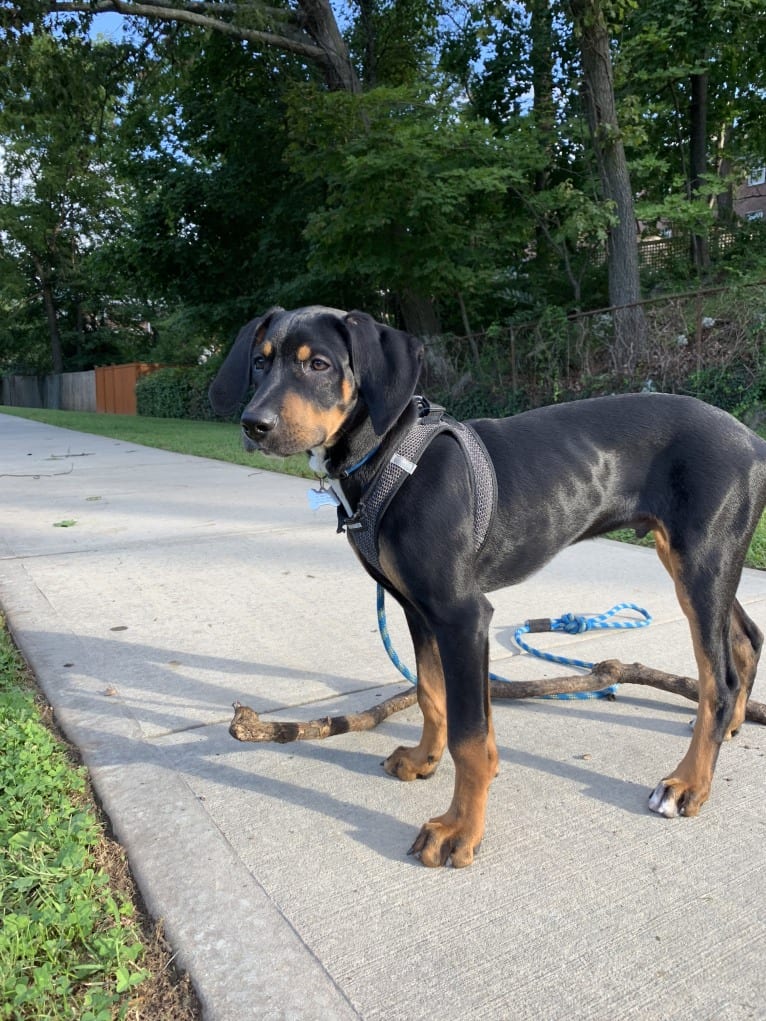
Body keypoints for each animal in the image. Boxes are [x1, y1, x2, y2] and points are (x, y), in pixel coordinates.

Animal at [210, 304, 766, 869]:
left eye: (318, 364)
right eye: (260, 361)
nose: (253, 424)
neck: (387, 456)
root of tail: (752, 440)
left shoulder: (461, 615)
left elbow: (468, 734)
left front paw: (459, 829)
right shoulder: (418, 609)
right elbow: (432, 693)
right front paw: (425, 759)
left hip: (700, 561)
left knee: (717, 679)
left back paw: (689, 782)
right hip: (694, 559)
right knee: (745, 638)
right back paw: (728, 728)